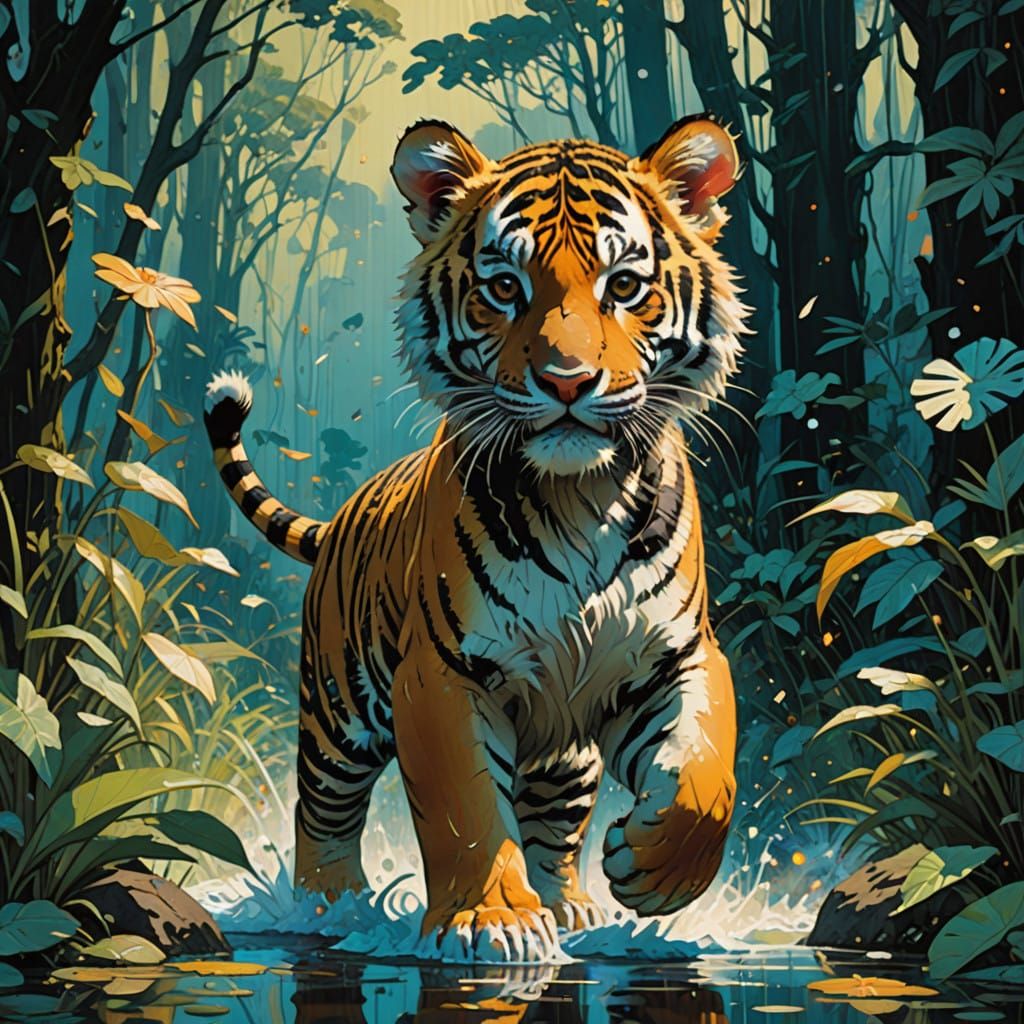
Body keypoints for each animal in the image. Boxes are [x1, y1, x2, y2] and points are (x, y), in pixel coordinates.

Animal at [205, 115, 748, 962]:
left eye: (624, 286)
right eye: (504, 287)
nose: (567, 381)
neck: (579, 496)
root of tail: (340, 517)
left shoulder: (675, 656)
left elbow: (706, 770)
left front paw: (653, 870)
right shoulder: (444, 673)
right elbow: (465, 808)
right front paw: (490, 922)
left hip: (564, 756)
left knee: (554, 826)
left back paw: (571, 910)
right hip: (337, 715)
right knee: (322, 814)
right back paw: (332, 910)